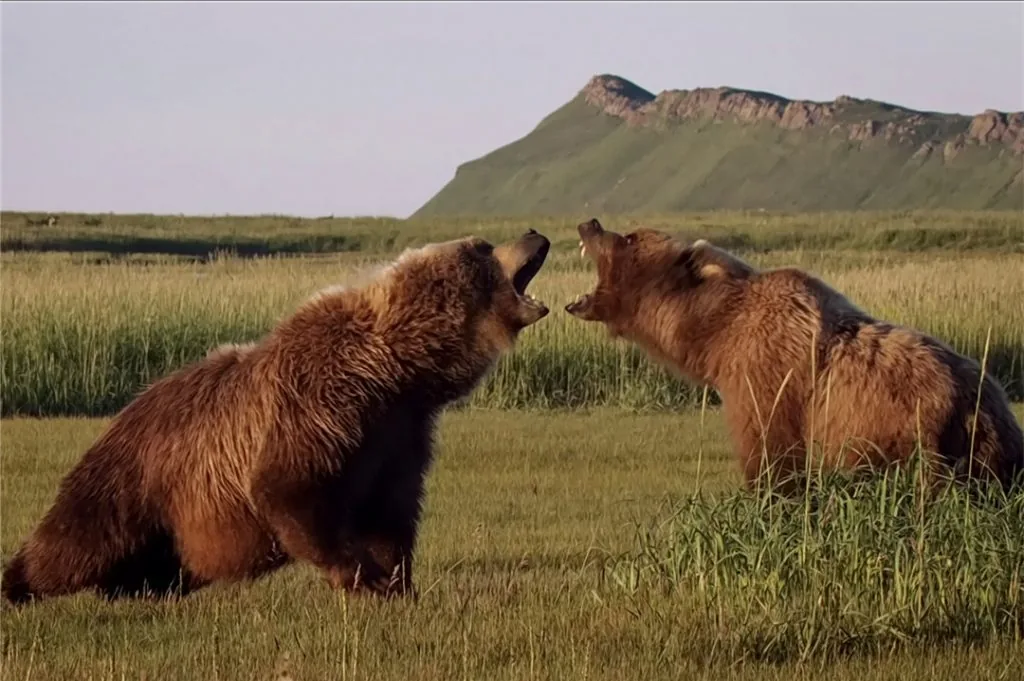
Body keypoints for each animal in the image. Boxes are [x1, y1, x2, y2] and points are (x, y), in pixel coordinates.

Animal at [2, 229, 551, 606]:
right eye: (482, 246)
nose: (535, 234)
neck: (397, 368)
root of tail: (127, 409)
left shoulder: (399, 429)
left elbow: (391, 509)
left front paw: (397, 582)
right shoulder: (321, 402)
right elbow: (289, 487)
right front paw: (365, 577)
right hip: (134, 480)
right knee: (77, 540)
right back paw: (18, 583)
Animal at [565, 218, 1024, 493]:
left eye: (628, 238)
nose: (590, 222)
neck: (715, 336)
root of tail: (985, 405)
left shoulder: (766, 380)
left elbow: (771, 455)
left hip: (917, 436)